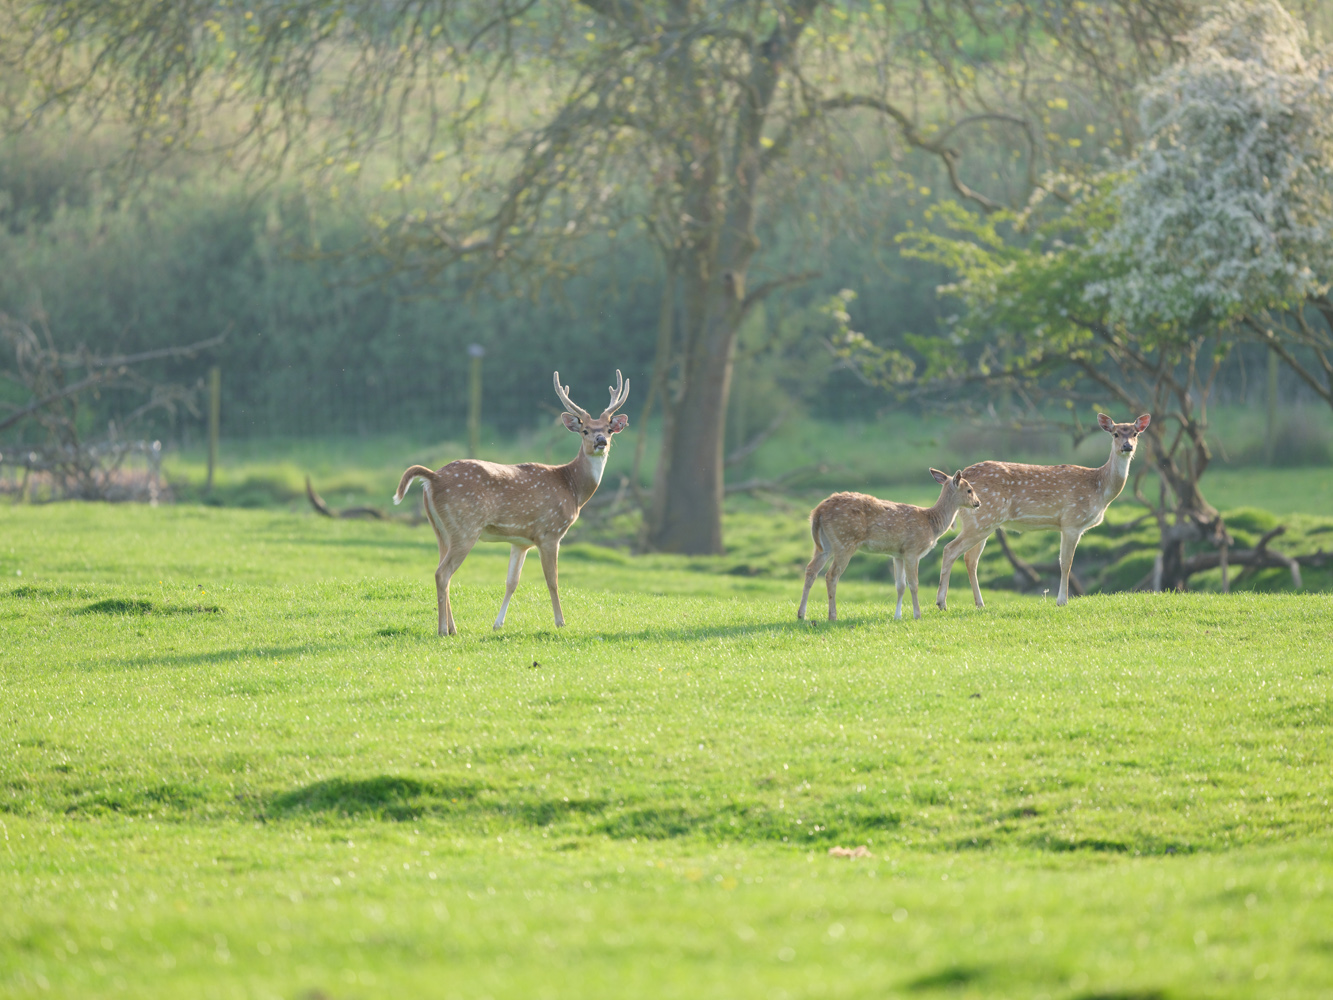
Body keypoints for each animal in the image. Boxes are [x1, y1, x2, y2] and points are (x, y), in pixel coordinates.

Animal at [389, 368, 629, 634]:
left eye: (608, 429)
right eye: (585, 429)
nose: (600, 441)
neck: (572, 488)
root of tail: (433, 477)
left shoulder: (520, 541)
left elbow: (511, 581)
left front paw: (497, 624)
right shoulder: (550, 532)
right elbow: (552, 581)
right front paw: (560, 622)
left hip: (440, 529)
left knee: (444, 571)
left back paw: (452, 628)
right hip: (465, 527)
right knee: (442, 574)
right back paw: (443, 630)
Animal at [794, 472, 986, 626]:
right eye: (969, 490)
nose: (978, 503)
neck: (931, 524)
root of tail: (817, 512)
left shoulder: (897, 554)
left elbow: (900, 585)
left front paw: (897, 616)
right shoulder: (912, 550)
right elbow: (914, 584)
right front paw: (917, 615)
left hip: (824, 545)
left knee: (811, 570)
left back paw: (801, 614)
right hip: (845, 540)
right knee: (831, 575)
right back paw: (832, 616)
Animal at [933, 413, 1151, 610]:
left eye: (1135, 433)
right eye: (1115, 433)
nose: (1127, 446)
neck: (1099, 488)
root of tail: (959, 478)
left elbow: (1064, 562)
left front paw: (1061, 599)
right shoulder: (1072, 521)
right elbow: (1066, 563)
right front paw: (1062, 601)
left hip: (984, 521)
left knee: (970, 559)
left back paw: (979, 604)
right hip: (983, 519)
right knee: (950, 550)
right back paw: (942, 603)